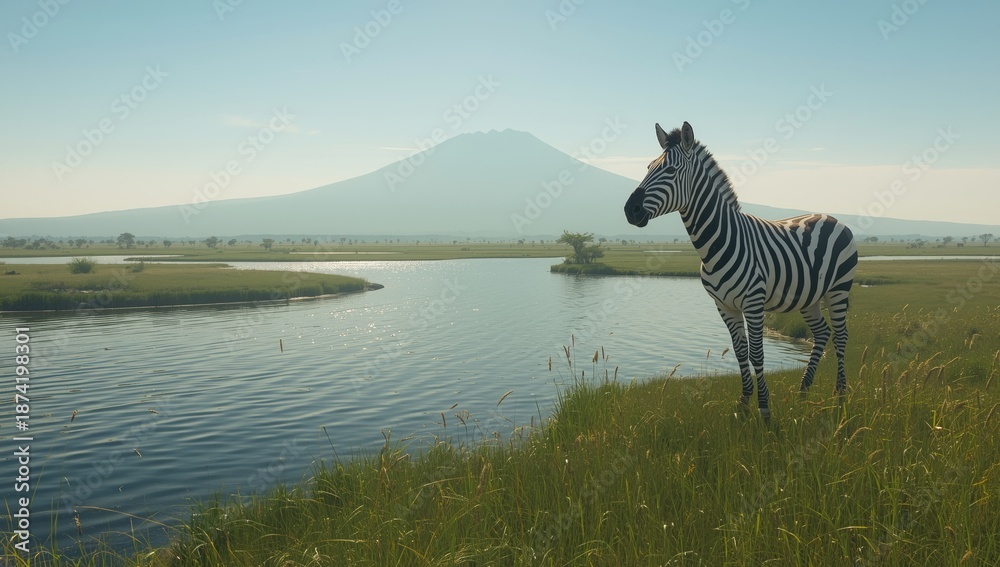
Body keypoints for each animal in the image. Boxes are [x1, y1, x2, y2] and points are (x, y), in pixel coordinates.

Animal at [624, 121, 858, 419]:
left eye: (671, 170)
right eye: (648, 167)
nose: (630, 210)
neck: (718, 241)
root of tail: (832, 217)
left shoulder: (753, 302)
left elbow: (756, 353)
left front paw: (765, 410)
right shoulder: (724, 305)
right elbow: (739, 352)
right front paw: (743, 406)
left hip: (838, 290)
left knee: (840, 337)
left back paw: (840, 396)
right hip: (809, 297)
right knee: (822, 334)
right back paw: (803, 391)